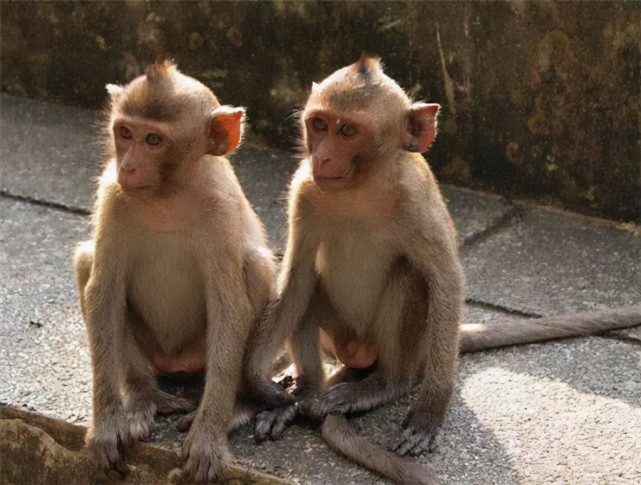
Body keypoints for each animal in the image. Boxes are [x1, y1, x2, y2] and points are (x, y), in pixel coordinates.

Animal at [73, 59, 276, 480]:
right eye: (125, 132)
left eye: (154, 140)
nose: (129, 166)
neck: (167, 196)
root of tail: (177, 363)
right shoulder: (112, 196)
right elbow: (104, 292)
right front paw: (106, 426)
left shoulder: (220, 211)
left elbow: (229, 308)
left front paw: (207, 439)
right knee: (87, 263)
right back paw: (143, 395)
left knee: (254, 267)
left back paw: (239, 405)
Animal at [241, 54, 640, 482]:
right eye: (319, 125)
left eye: (347, 131)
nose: (322, 157)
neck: (361, 189)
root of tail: (358, 357)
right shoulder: (305, 192)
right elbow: (296, 278)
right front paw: (262, 389)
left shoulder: (416, 202)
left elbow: (445, 280)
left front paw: (430, 410)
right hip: (339, 337)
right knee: (308, 290)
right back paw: (306, 393)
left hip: (413, 347)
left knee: (410, 278)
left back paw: (384, 385)